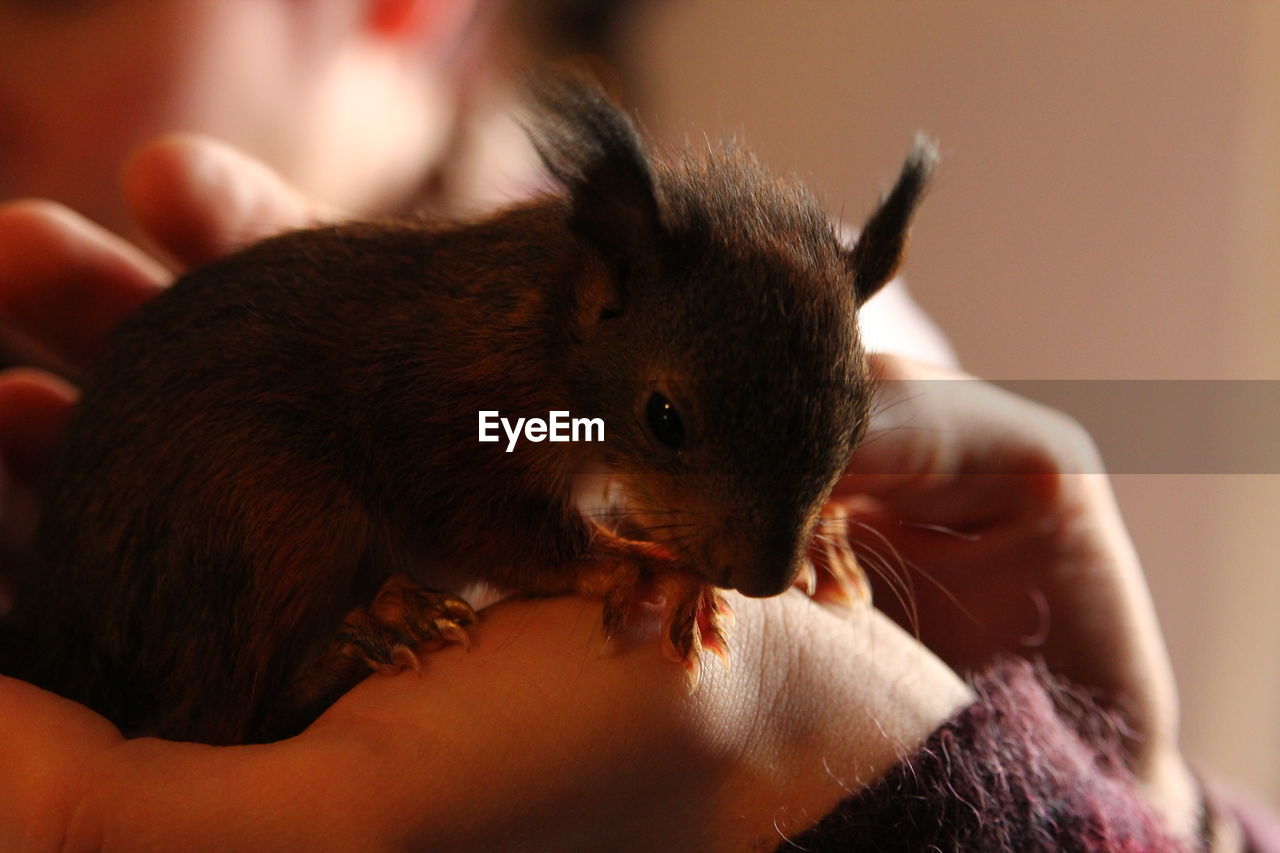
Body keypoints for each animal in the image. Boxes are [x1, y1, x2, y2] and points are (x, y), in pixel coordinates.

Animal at [5, 78, 936, 742]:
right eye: (665, 416)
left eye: (859, 422)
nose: (766, 576)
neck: (548, 328)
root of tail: (61, 631)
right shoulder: (447, 424)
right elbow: (495, 530)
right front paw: (646, 567)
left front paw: (828, 537)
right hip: (268, 512)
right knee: (218, 719)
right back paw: (369, 634)